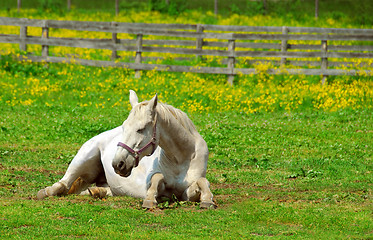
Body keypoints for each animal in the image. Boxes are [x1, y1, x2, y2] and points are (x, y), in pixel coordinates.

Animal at [37, 90, 215, 208]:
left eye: (141, 129)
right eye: (124, 127)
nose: (118, 164)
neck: (182, 157)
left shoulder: (186, 192)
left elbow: (202, 182)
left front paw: (208, 200)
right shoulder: (150, 182)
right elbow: (156, 179)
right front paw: (150, 200)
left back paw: (96, 192)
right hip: (82, 158)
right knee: (64, 184)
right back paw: (46, 192)